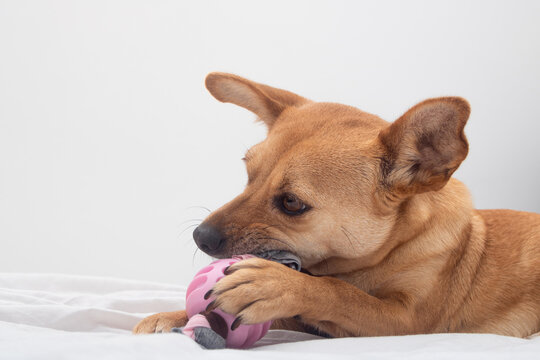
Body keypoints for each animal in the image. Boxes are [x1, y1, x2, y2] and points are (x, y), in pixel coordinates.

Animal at [134, 72, 540, 338]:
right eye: (249, 175)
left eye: (292, 203)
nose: (200, 237)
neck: (387, 253)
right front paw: (172, 314)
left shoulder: (405, 321)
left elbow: (339, 293)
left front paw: (274, 284)